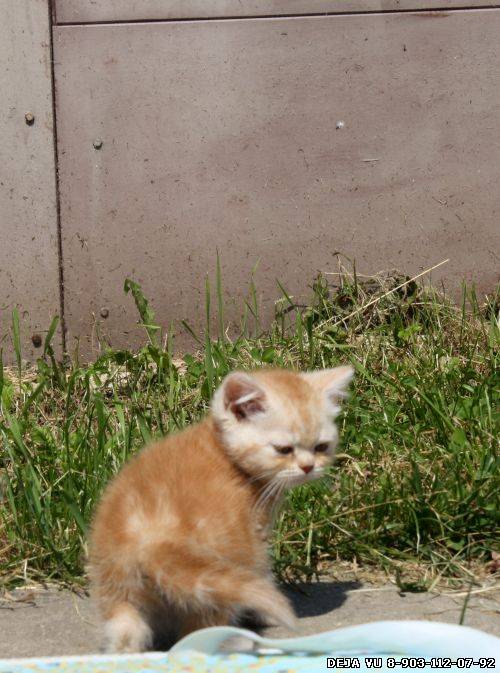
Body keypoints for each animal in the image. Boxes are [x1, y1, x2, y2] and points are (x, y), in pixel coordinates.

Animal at [88, 366, 353, 653]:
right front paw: (263, 612)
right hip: (220, 570)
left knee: (126, 631)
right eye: (283, 449)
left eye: (321, 447)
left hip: (117, 585)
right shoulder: (255, 534)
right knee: (199, 631)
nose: (308, 467)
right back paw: (234, 641)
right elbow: (262, 574)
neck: (223, 452)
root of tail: (153, 542)